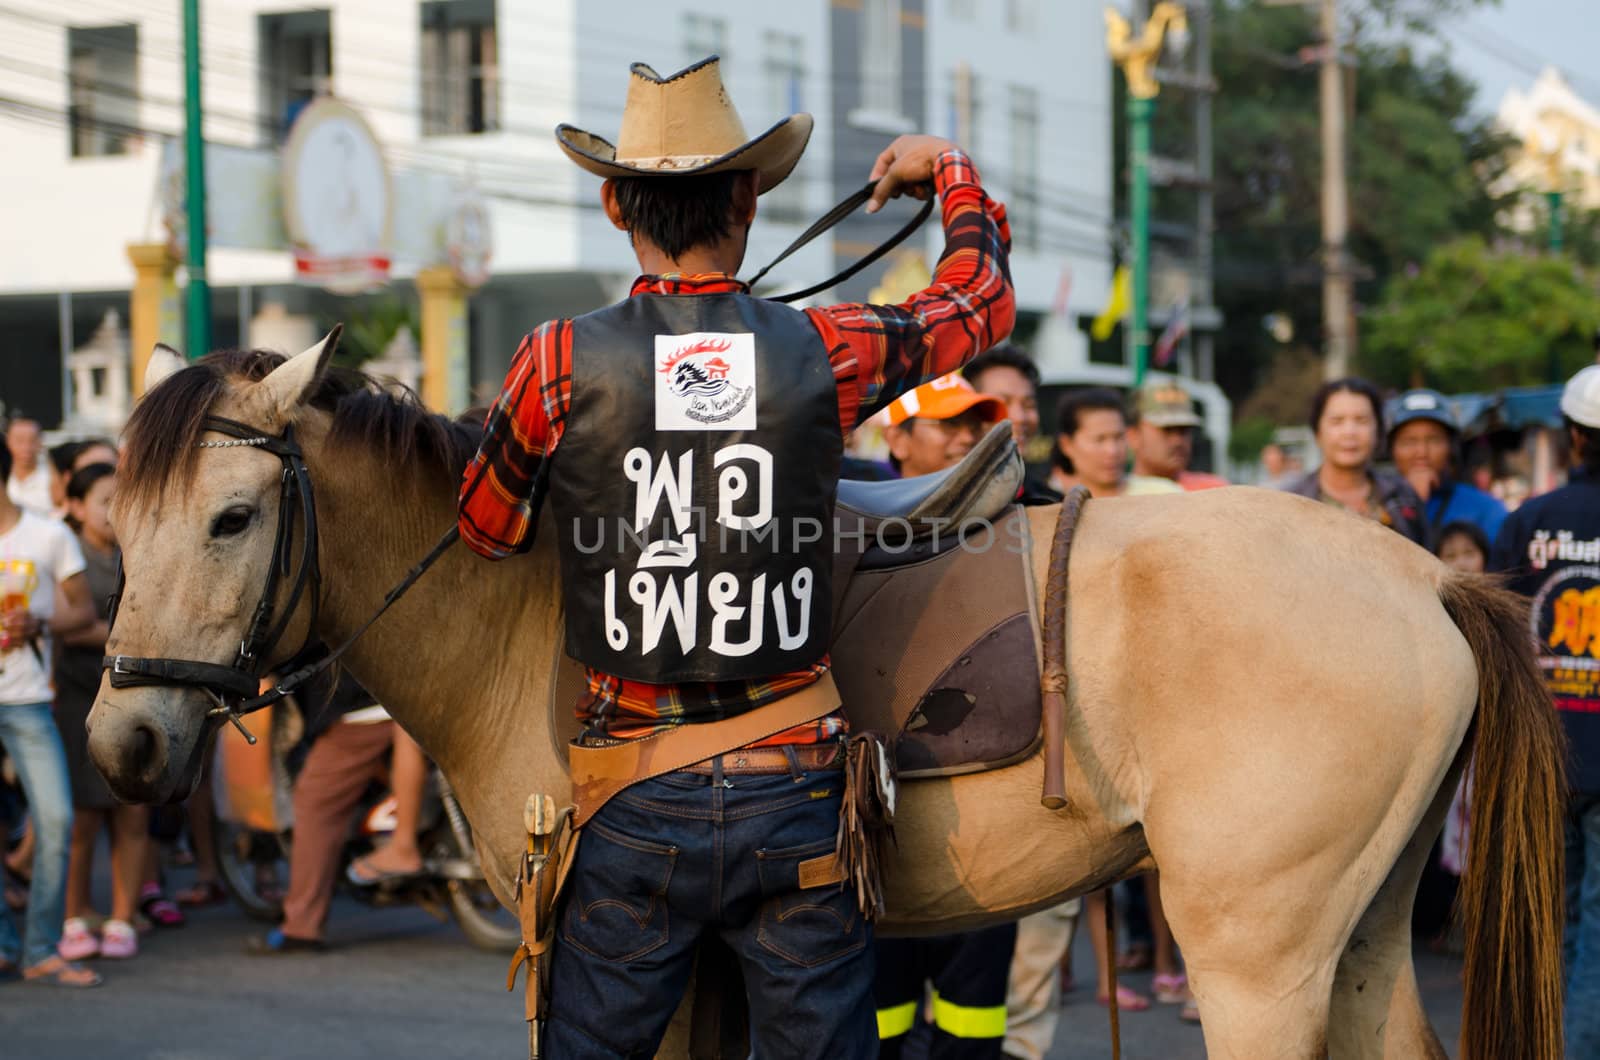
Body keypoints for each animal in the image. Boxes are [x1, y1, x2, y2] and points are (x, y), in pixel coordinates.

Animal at [87, 342, 1561, 1060]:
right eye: (119, 520)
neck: (525, 617)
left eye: (230, 518)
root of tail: (1429, 578)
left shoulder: (625, 944)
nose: (123, 738)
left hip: (1257, 957)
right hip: (1360, 934)